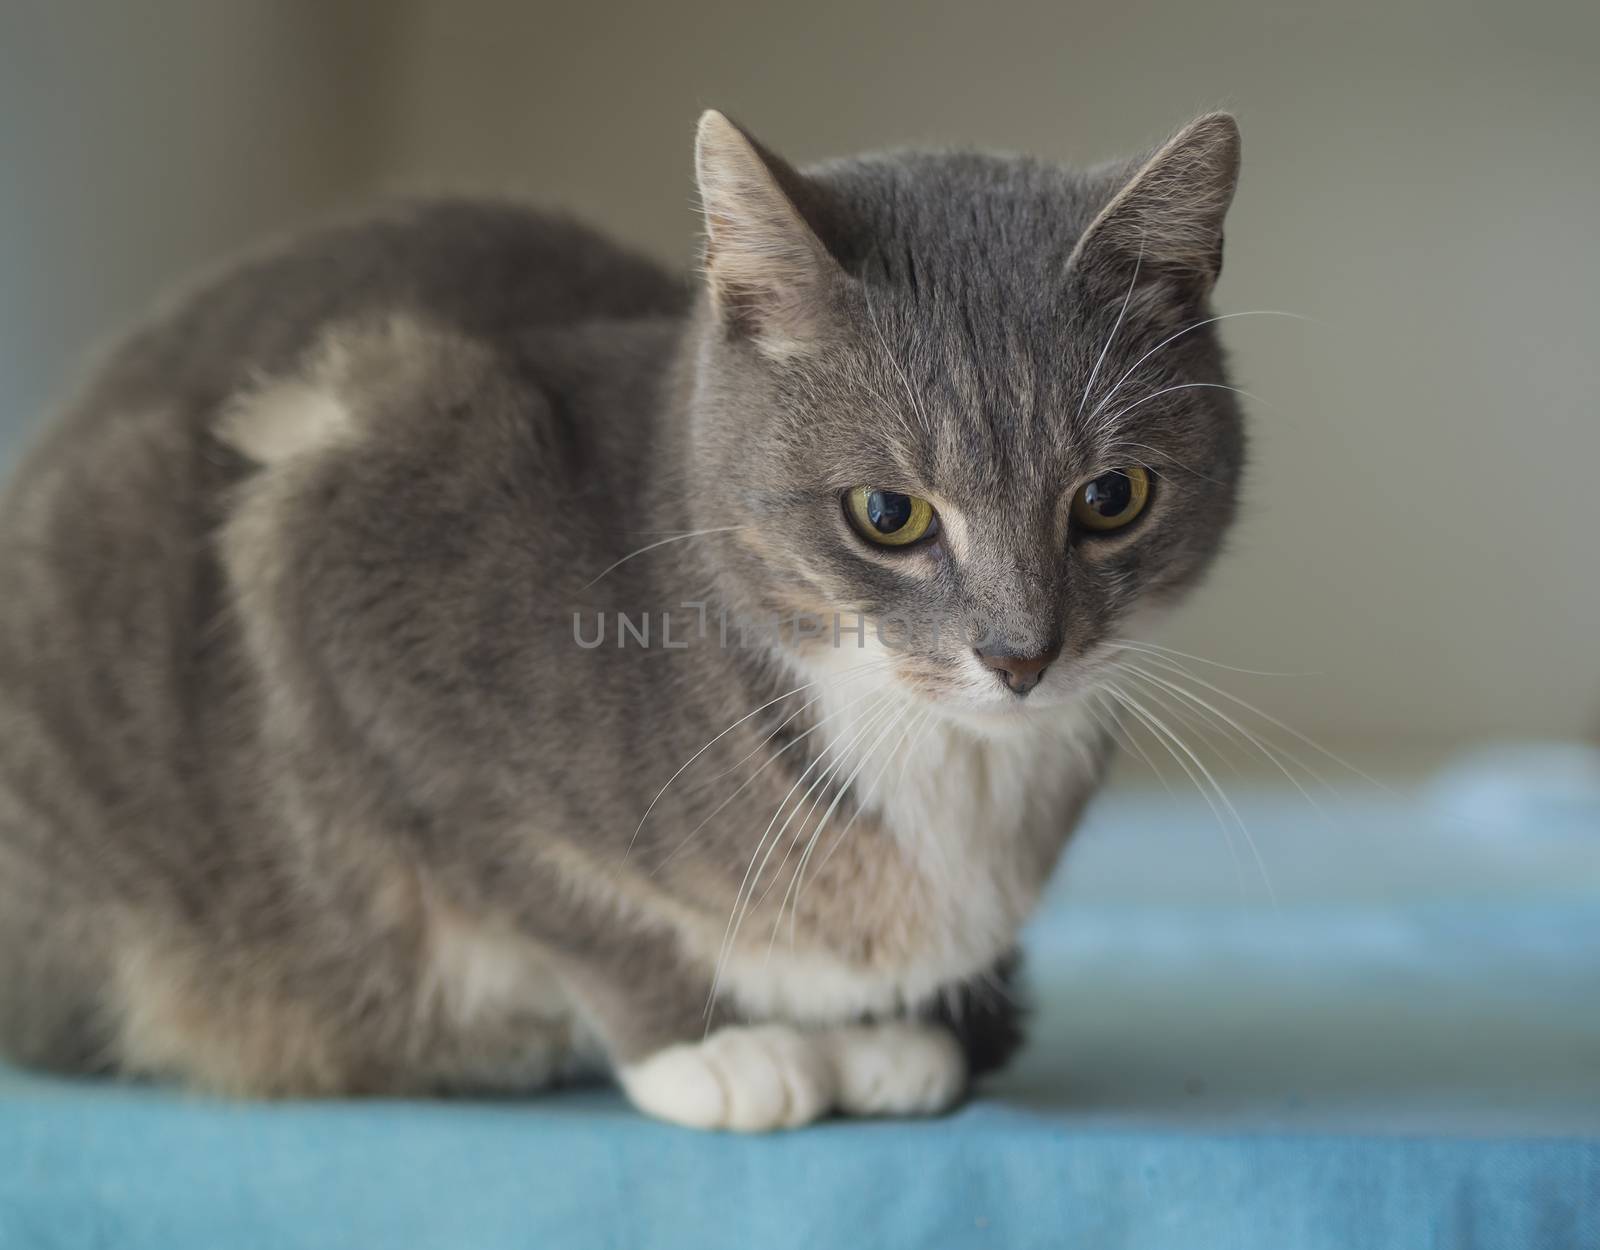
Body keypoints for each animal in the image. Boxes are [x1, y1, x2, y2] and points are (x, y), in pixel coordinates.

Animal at [0, 109, 1241, 1133]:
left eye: (1112, 496)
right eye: (889, 514)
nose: (1021, 654)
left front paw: (880, 1035)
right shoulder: (346, 579)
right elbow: (568, 902)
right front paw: (715, 1046)